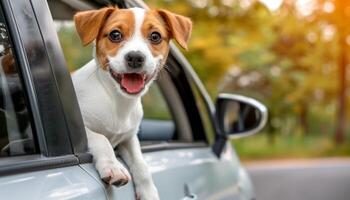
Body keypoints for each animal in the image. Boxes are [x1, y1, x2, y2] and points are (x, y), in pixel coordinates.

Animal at [71, 6, 191, 200]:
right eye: (115, 34)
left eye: (155, 36)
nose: (135, 57)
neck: (117, 101)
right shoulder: (81, 127)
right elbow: (101, 138)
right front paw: (113, 167)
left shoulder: (128, 138)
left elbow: (141, 163)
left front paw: (148, 191)